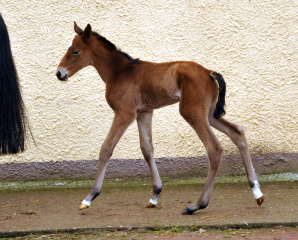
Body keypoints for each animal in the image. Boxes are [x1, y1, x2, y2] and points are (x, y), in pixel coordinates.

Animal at [56, 22, 264, 214]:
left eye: (75, 51)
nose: (59, 73)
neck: (120, 72)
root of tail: (208, 72)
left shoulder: (125, 113)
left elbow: (106, 148)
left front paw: (89, 197)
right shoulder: (144, 113)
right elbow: (147, 149)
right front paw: (155, 195)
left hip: (192, 112)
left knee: (214, 148)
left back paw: (197, 205)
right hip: (210, 114)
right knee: (237, 132)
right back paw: (257, 193)